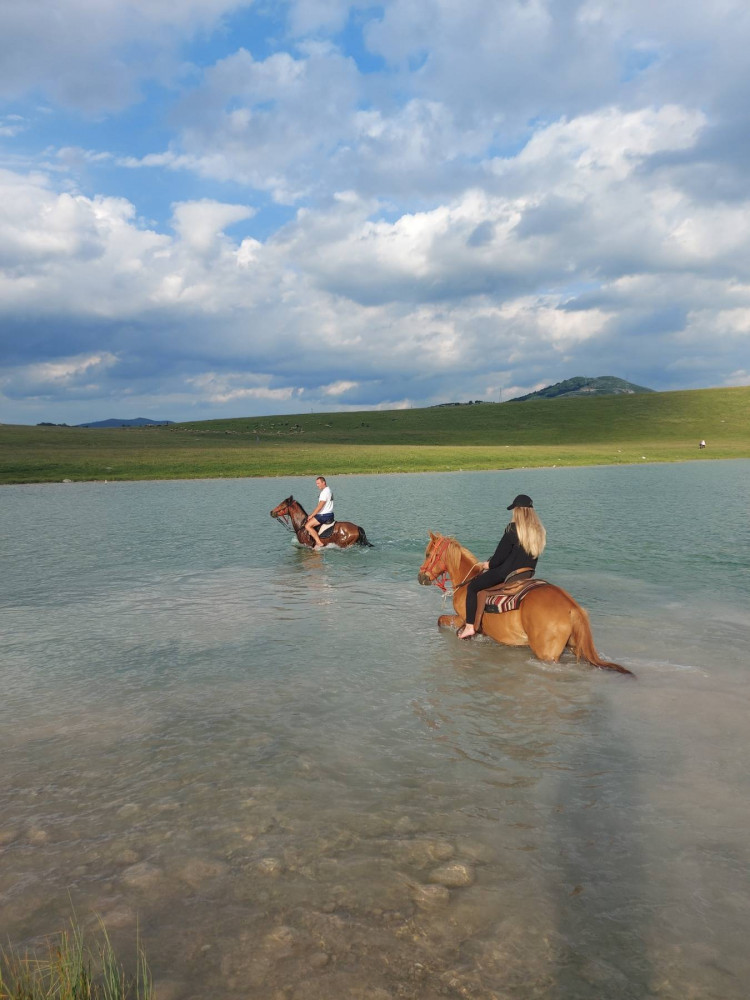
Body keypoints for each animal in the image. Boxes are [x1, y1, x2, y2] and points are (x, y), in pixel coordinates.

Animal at [418, 532, 636, 680]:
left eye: (428, 553)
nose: (421, 577)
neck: (468, 581)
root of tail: (572, 607)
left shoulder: (464, 619)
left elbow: (443, 621)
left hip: (546, 654)